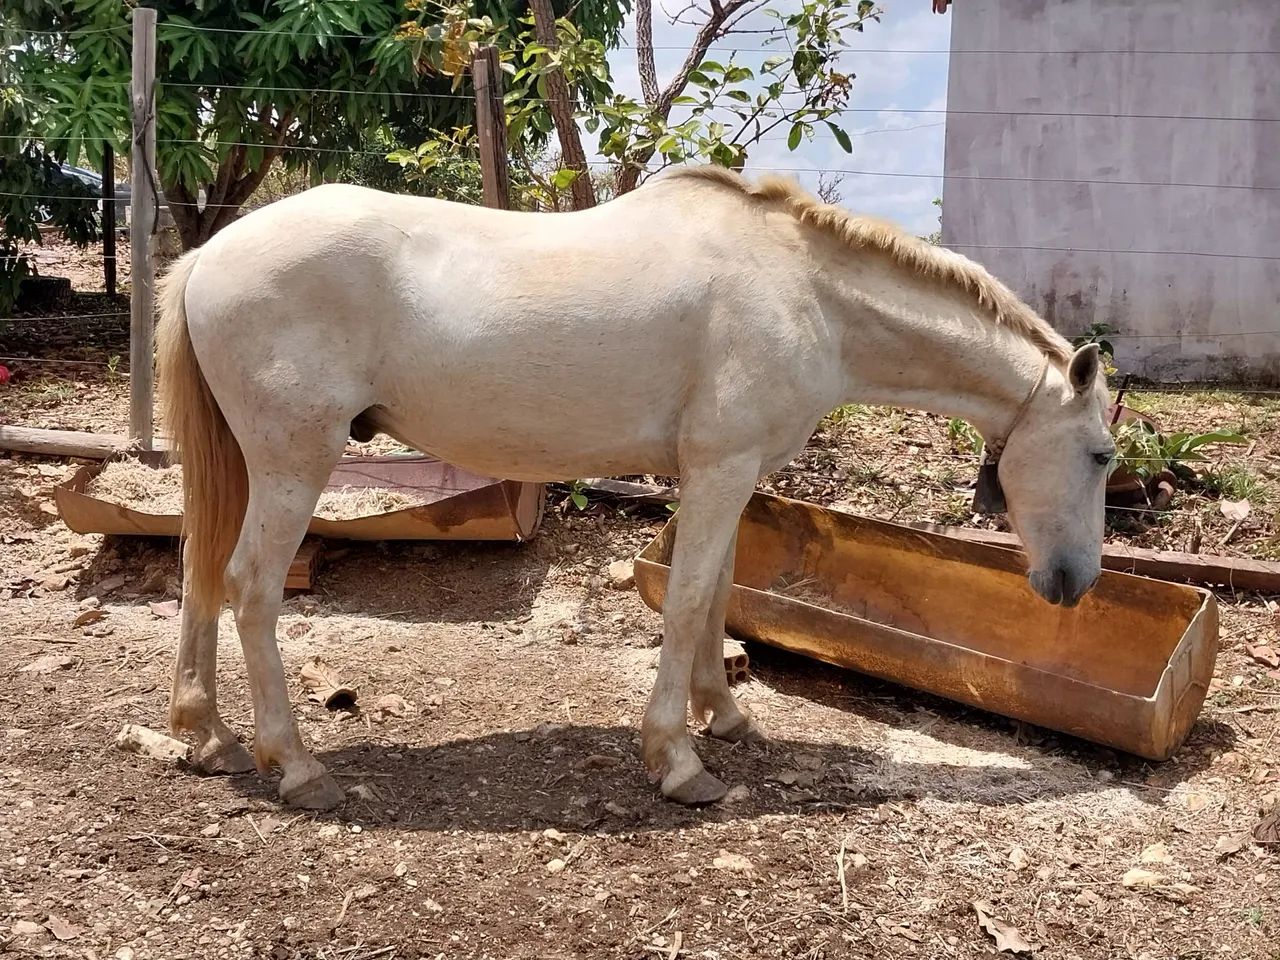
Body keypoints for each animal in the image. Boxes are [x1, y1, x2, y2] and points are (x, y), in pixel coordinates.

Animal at [155, 165, 1114, 810]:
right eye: (1103, 455)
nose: (1075, 584)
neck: (806, 294)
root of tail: (209, 255)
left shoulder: (730, 474)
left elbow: (719, 595)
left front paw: (725, 716)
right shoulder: (722, 469)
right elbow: (688, 604)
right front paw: (680, 762)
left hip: (242, 463)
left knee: (201, 571)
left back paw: (209, 737)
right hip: (294, 465)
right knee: (250, 588)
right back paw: (297, 766)